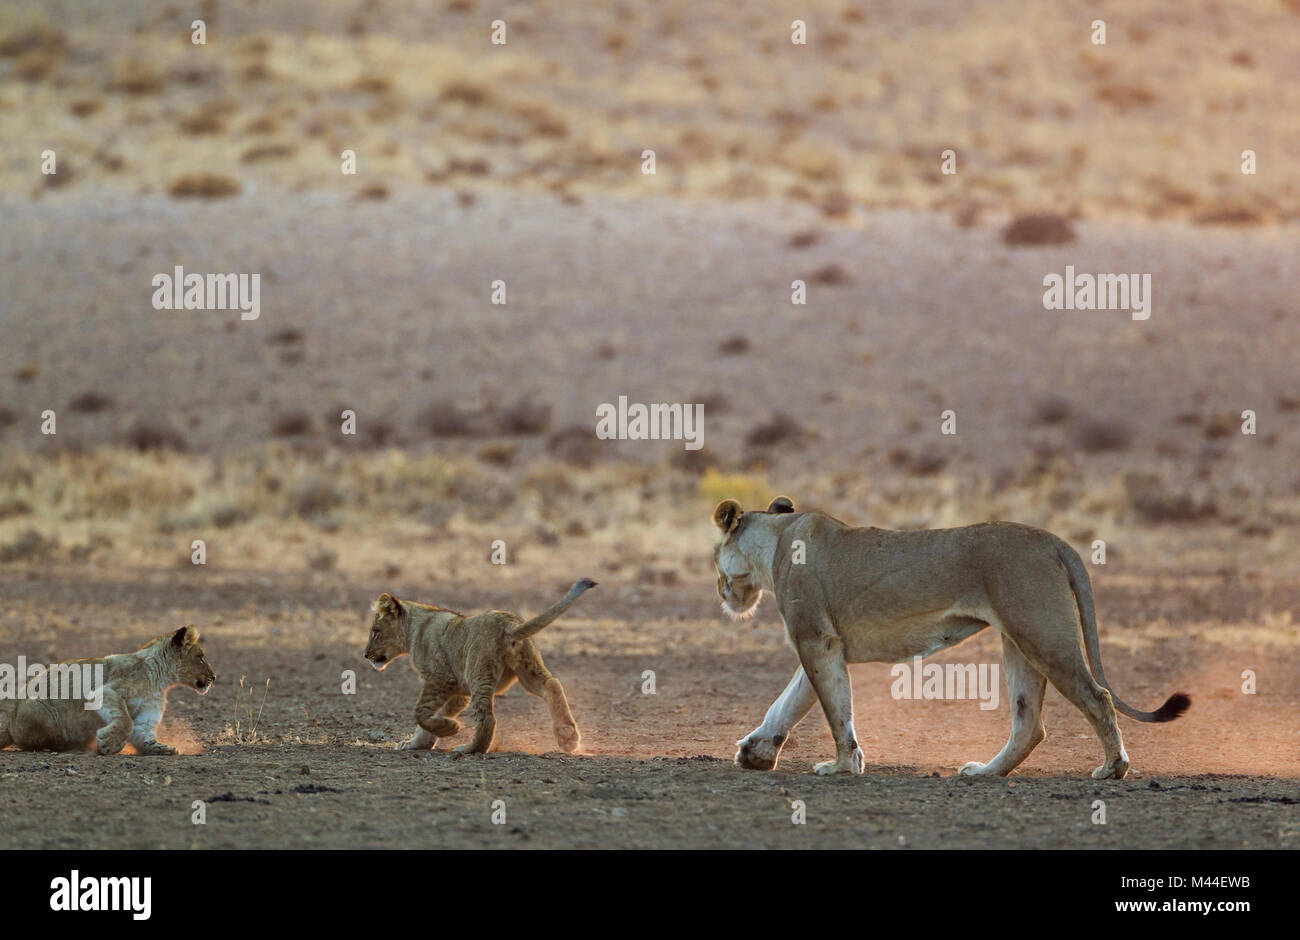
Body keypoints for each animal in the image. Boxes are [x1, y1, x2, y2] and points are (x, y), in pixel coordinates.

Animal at [0, 626, 215, 754]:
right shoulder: (106, 692)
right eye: (200, 657)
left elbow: (142, 733)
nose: (214, 677)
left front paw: (162, 748)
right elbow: (126, 721)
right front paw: (108, 743)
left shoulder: (145, 717)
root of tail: (10, 724)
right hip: (40, 711)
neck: (159, 680)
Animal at [363, 579, 595, 755]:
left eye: (375, 632)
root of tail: (509, 624)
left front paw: (450, 729)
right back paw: (568, 736)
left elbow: (420, 713)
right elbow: (432, 716)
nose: (365, 655)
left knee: (487, 718)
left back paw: (470, 748)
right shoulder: (458, 690)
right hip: (527, 668)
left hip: (478, 671)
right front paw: (418, 743)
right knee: (552, 685)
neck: (414, 629)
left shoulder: (440, 678)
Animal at [713, 497, 1189, 779]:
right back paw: (986, 773)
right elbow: (792, 701)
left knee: (1097, 697)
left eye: (715, 560)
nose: (720, 591)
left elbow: (833, 710)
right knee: (1030, 723)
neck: (776, 540)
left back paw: (1112, 768)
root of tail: (1053, 540)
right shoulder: (823, 642)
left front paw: (843, 765)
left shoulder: (817, 639)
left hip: (1043, 635)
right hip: (1019, 641)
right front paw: (756, 753)